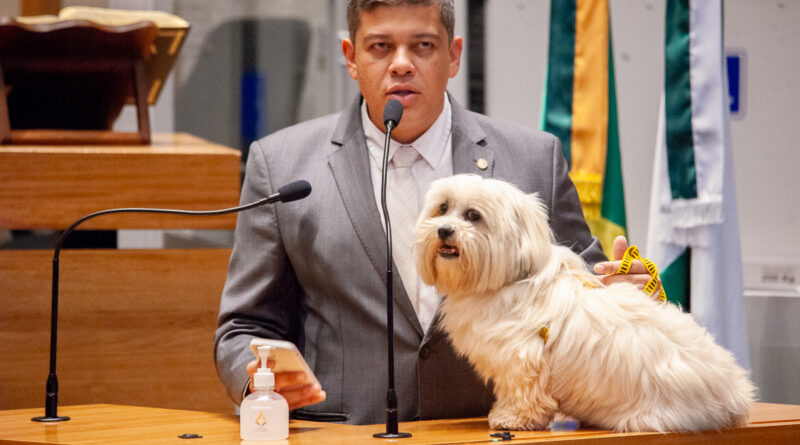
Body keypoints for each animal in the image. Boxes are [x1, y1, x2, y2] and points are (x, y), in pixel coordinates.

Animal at [416, 173, 752, 430]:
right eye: (443, 208)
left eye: (473, 216)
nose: (444, 229)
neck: (507, 280)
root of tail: (732, 393)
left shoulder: (521, 358)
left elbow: (524, 393)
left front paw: (512, 418)